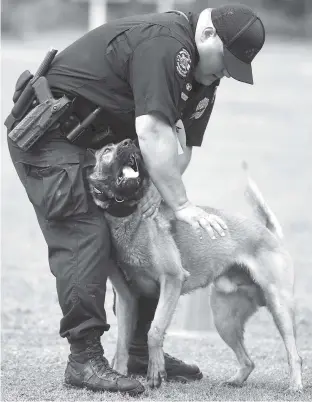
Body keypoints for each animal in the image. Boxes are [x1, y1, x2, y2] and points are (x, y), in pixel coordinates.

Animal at [88, 139, 302, 392]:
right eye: (107, 151)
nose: (130, 142)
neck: (128, 217)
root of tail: (268, 232)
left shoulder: (172, 280)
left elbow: (155, 331)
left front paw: (156, 371)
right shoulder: (126, 298)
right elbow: (122, 344)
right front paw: (119, 375)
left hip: (279, 307)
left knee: (294, 354)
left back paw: (295, 386)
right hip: (224, 319)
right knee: (248, 361)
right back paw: (235, 381)